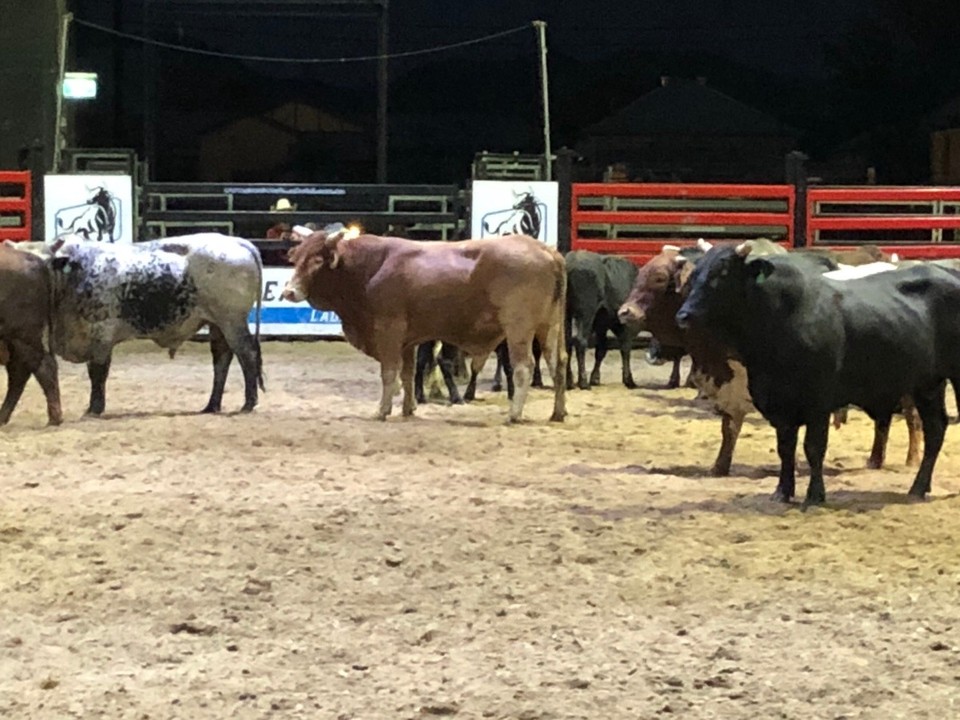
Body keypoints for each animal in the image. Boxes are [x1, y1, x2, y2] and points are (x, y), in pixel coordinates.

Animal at [49, 233, 262, 416]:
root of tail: (235, 241)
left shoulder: (102, 334)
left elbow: (98, 373)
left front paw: (94, 408)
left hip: (232, 322)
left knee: (247, 355)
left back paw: (248, 403)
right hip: (217, 324)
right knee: (221, 360)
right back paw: (212, 405)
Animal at [284, 229, 568, 422]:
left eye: (317, 261)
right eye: (296, 259)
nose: (288, 292)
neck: (369, 267)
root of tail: (547, 251)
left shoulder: (389, 330)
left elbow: (389, 372)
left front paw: (382, 410)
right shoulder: (407, 340)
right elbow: (408, 374)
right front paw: (408, 408)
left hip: (519, 328)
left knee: (523, 367)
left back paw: (514, 413)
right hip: (550, 325)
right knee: (558, 362)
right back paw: (558, 411)